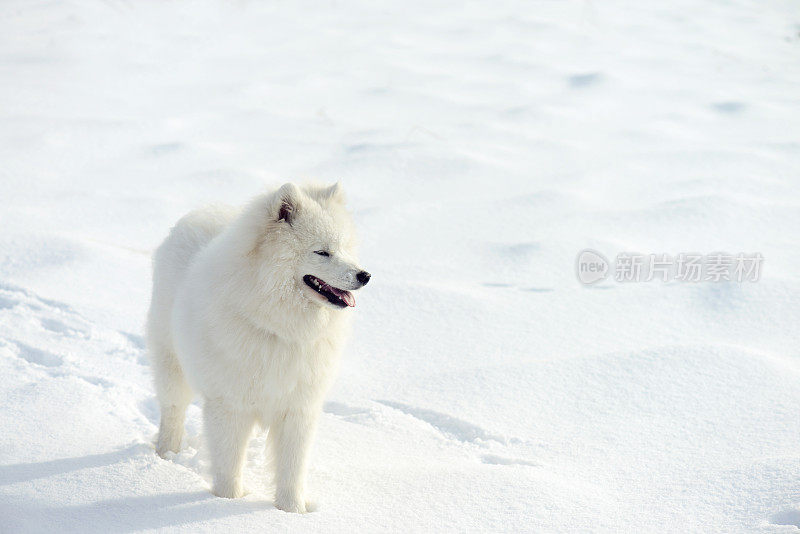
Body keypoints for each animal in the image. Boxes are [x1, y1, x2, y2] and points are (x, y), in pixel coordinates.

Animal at [148, 183, 372, 516]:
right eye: (322, 252)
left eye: (345, 248)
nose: (365, 276)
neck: (279, 327)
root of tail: (201, 211)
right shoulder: (229, 405)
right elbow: (229, 464)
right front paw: (224, 504)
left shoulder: (298, 408)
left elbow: (292, 469)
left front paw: (292, 512)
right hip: (171, 361)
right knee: (173, 409)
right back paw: (167, 454)